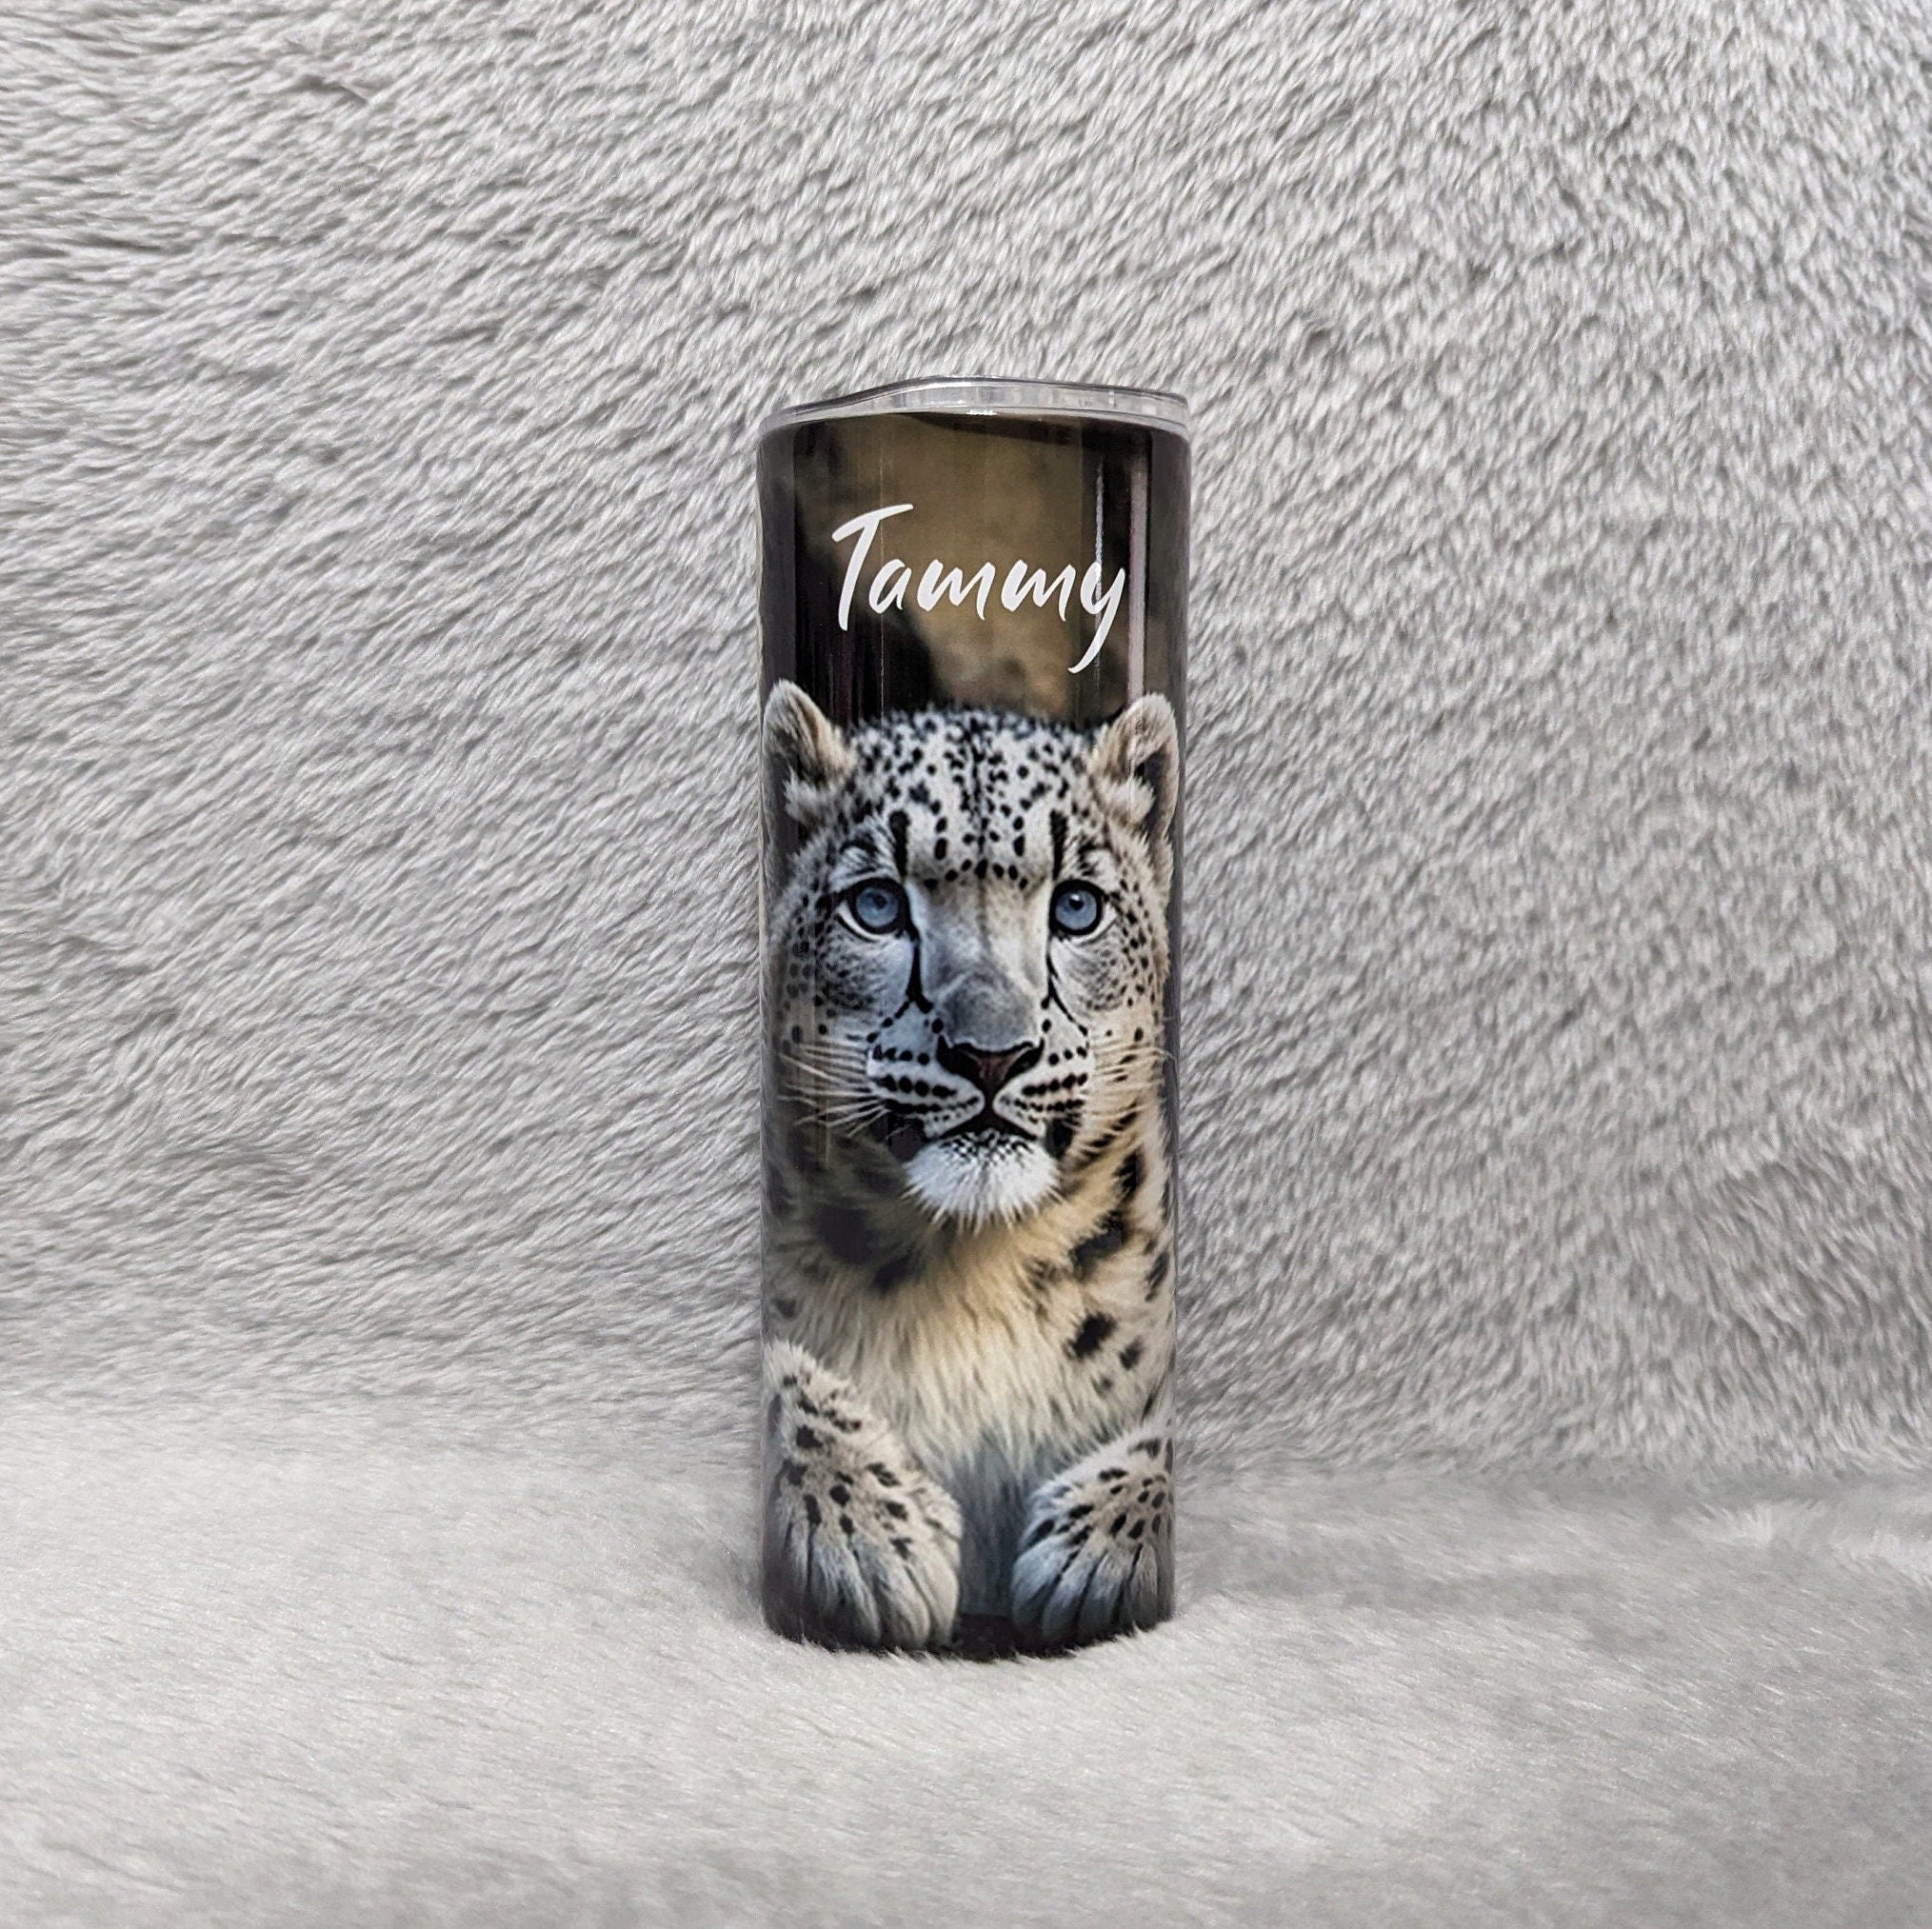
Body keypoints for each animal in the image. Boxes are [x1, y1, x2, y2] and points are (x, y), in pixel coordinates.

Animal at [760, 679, 1178, 1652]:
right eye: (877, 906)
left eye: (1076, 908)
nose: (992, 1054)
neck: (971, 1273)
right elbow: (784, 1378)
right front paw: (878, 1545)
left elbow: (1159, 1428)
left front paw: (1087, 1562)